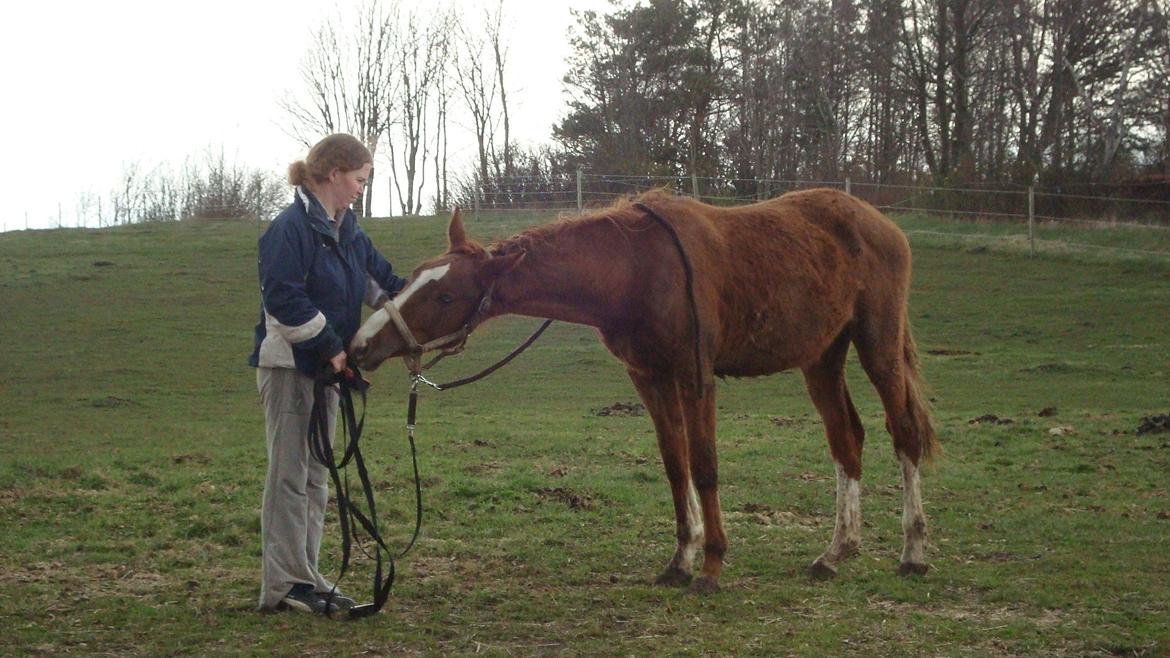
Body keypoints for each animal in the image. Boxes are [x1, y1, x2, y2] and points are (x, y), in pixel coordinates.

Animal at [348, 187, 940, 592]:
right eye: (416, 276)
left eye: (446, 295)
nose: (360, 344)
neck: (636, 269)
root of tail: (881, 223)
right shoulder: (649, 378)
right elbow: (675, 465)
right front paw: (681, 560)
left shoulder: (695, 374)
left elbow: (704, 465)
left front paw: (712, 564)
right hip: (822, 359)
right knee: (847, 441)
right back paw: (837, 551)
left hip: (878, 346)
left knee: (903, 433)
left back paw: (913, 551)